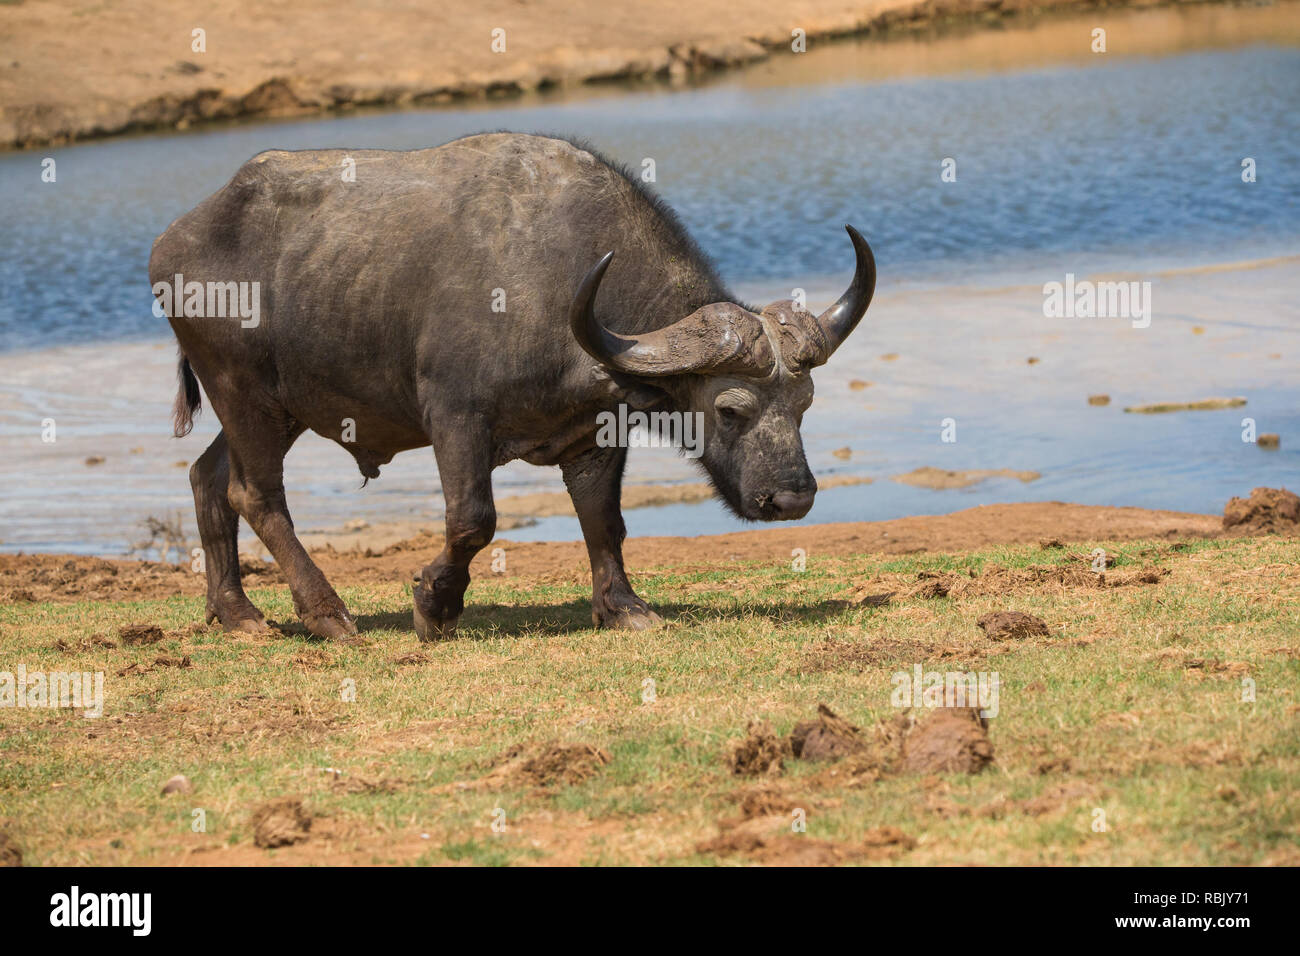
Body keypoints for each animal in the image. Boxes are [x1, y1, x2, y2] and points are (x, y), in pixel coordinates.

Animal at [149, 132, 875, 641]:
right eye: (729, 409)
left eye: (805, 405)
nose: (793, 498)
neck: (563, 288)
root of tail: (171, 246)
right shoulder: (454, 418)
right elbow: (474, 520)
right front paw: (434, 604)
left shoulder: (594, 434)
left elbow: (604, 521)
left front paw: (623, 607)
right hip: (243, 391)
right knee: (255, 493)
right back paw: (328, 614)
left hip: (279, 408)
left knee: (208, 477)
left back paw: (237, 612)